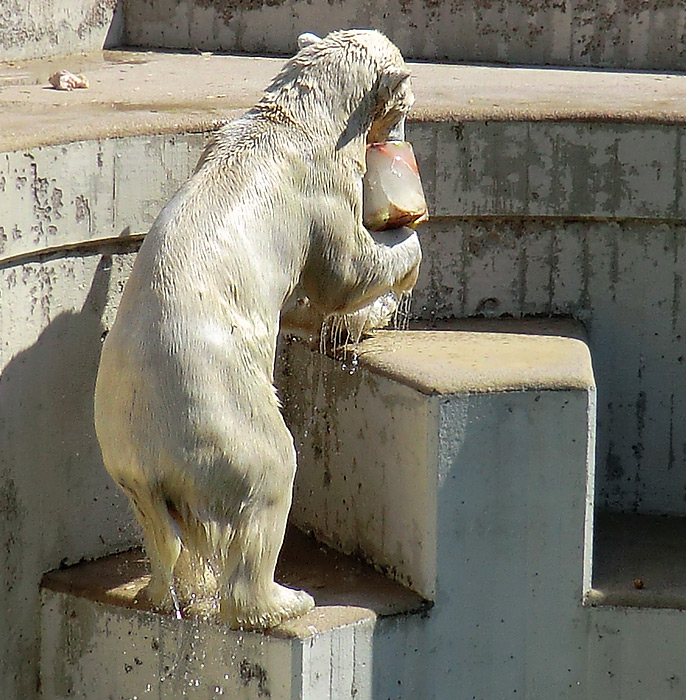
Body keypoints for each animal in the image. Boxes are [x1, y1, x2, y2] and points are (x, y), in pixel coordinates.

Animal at [94, 30, 422, 628]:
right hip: (226, 417)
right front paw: (402, 256)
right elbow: (345, 271)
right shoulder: (320, 187)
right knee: (269, 478)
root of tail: (153, 454)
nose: (402, 139)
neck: (295, 119)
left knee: (162, 531)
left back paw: (171, 591)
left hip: (124, 456)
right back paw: (282, 601)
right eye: (405, 105)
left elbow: (306, 302)